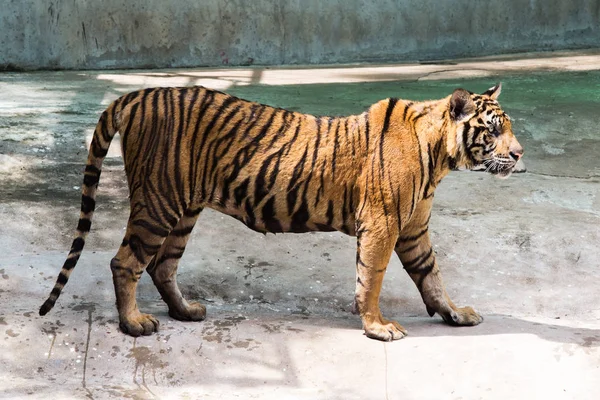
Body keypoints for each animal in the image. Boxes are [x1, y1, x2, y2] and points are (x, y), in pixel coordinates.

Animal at [39, 82, 524, 340]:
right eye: (493, 129)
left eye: (510, 127)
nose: (520, 154)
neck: (440, 156)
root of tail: (138, 94)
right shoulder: (383, 224)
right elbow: (371, 279)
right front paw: (377, 326)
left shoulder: (413, 229)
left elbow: (432, 275)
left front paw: (456, 314)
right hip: (158, 203)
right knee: (125, 262)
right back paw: (134, 323)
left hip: (184, 209)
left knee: (162, 265)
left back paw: (186, 311)